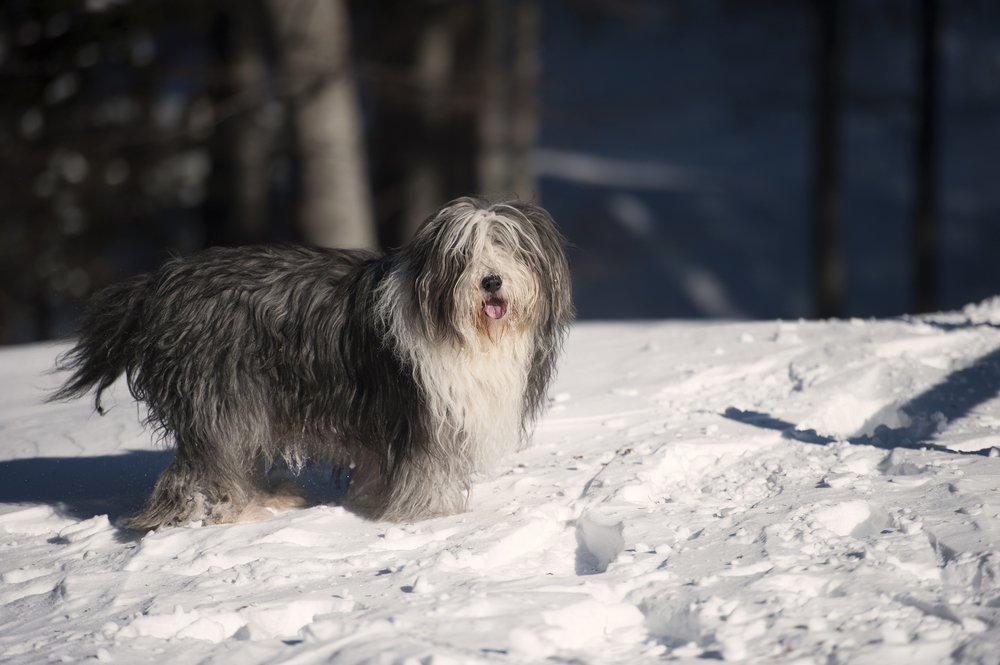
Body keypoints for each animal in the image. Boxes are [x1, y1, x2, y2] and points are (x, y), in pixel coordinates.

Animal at [50, 196, 576, 528]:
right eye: (463, 254)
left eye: (511, 247)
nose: (491, 282)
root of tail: (160, 287)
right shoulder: (421, 413)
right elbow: (426, 469)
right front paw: (432, 517)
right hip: (222, 396)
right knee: (203, 467)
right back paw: (229, 511)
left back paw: (269, 497)